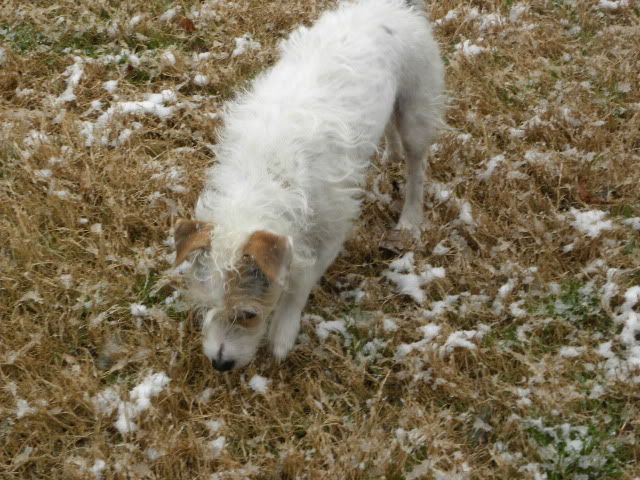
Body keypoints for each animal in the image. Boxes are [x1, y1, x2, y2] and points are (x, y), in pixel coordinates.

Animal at [174, 0, 444, 372]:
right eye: (206, 306)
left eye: (248, 314)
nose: (220, 363)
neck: (267, 172)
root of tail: (393, 7)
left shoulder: (330, 234)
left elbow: (300, 283)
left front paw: (283, 334)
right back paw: (390, 153)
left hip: (416, 110)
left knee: (417, 165)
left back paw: (410, 218)